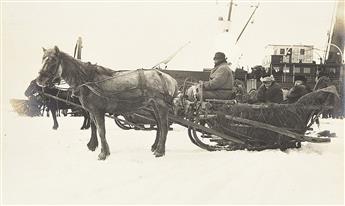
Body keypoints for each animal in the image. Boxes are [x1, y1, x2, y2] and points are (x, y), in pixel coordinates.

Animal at [35, 46, 177, 159]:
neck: (88, 80)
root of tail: (168, 78)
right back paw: (155, 147)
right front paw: (103, 149)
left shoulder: (98, 111)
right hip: (153, 106)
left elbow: (101, 130)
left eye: (53, 61)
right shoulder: (92, 112)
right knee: (159, 125)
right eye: (42, 59)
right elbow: (96, 128)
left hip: (160, 105)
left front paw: (102, 154)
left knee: (164, 126)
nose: (39, 80)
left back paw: (160, 151)